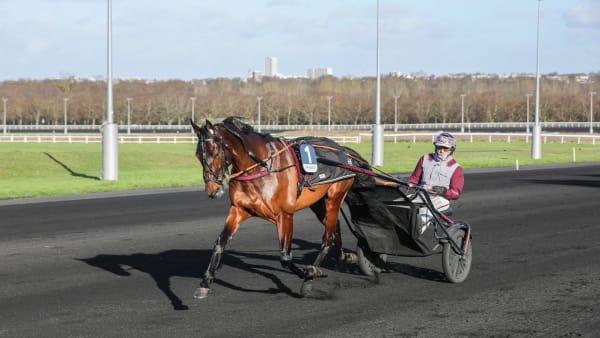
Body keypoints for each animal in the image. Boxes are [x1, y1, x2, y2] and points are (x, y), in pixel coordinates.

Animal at [190, 117, 368, 298]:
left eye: (216, 154)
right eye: (198, 155)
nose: (212, 190)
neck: (262, 167)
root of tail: (344, 151)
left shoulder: (285, 214)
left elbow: (285, 257)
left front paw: (309, 272)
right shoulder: (239, 210)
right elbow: (220, 243)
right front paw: (205, 283)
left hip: (335, 196)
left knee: (327, 238)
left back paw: (312, 275)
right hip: (318, 202)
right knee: (334, 225)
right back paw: (344, 256)